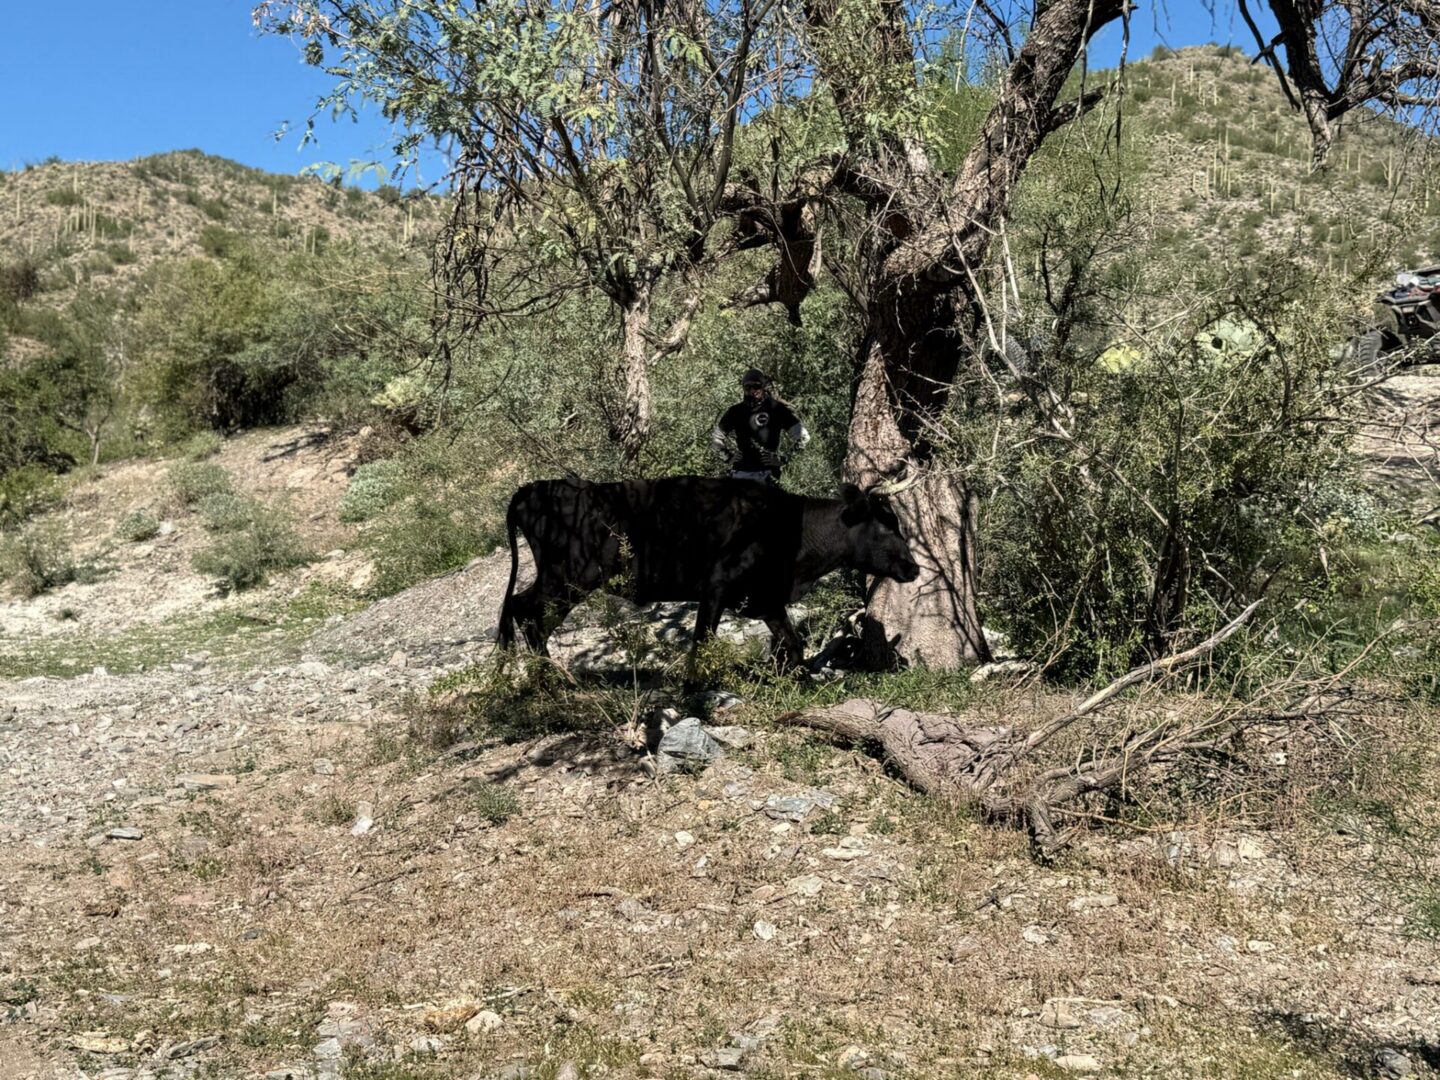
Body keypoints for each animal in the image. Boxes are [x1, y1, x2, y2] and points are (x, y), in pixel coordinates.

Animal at [496, 476, 920, 670]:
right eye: (886, 527)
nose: (914, 567)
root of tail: (534, 487)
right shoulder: (716, 585)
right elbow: (702, 642)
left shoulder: (766, 598)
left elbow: (793, 644)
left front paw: (789, 678)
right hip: (568, 577)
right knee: (525, 610)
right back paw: (549, 679)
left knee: (524, 613)